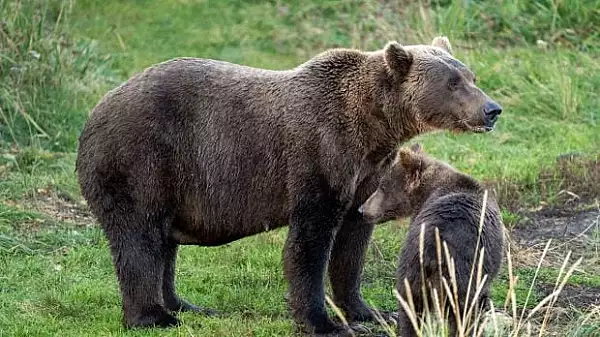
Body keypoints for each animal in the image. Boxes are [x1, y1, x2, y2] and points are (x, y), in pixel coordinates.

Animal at [77, 35, 504, 334]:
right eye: (452, 82)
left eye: (472, 76)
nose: (492, 109)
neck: (372, 128)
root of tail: (95, 112)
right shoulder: (317, 156)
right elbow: (308, 244)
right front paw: (324, 323)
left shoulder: (366, 175)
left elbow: (353, 243)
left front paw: (365, 310)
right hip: (140, 159)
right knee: (139, 238)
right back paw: (153, 317)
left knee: (164, 242)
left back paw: (185, 305)